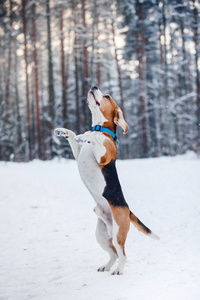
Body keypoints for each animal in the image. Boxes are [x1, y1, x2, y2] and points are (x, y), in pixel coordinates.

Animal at [54, 85, 159, 276]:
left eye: (107, 96)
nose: (94, 86)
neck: (100, 128)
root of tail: (128, 210)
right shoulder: (78, 154)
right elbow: (73, 136)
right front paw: (63, 131)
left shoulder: (103, 156)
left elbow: (92, 138)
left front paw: (85, 134)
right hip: (101, 235)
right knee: (114, 254)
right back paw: (106, 266)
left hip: (118, 233)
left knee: (123, 254)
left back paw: (118, 271)